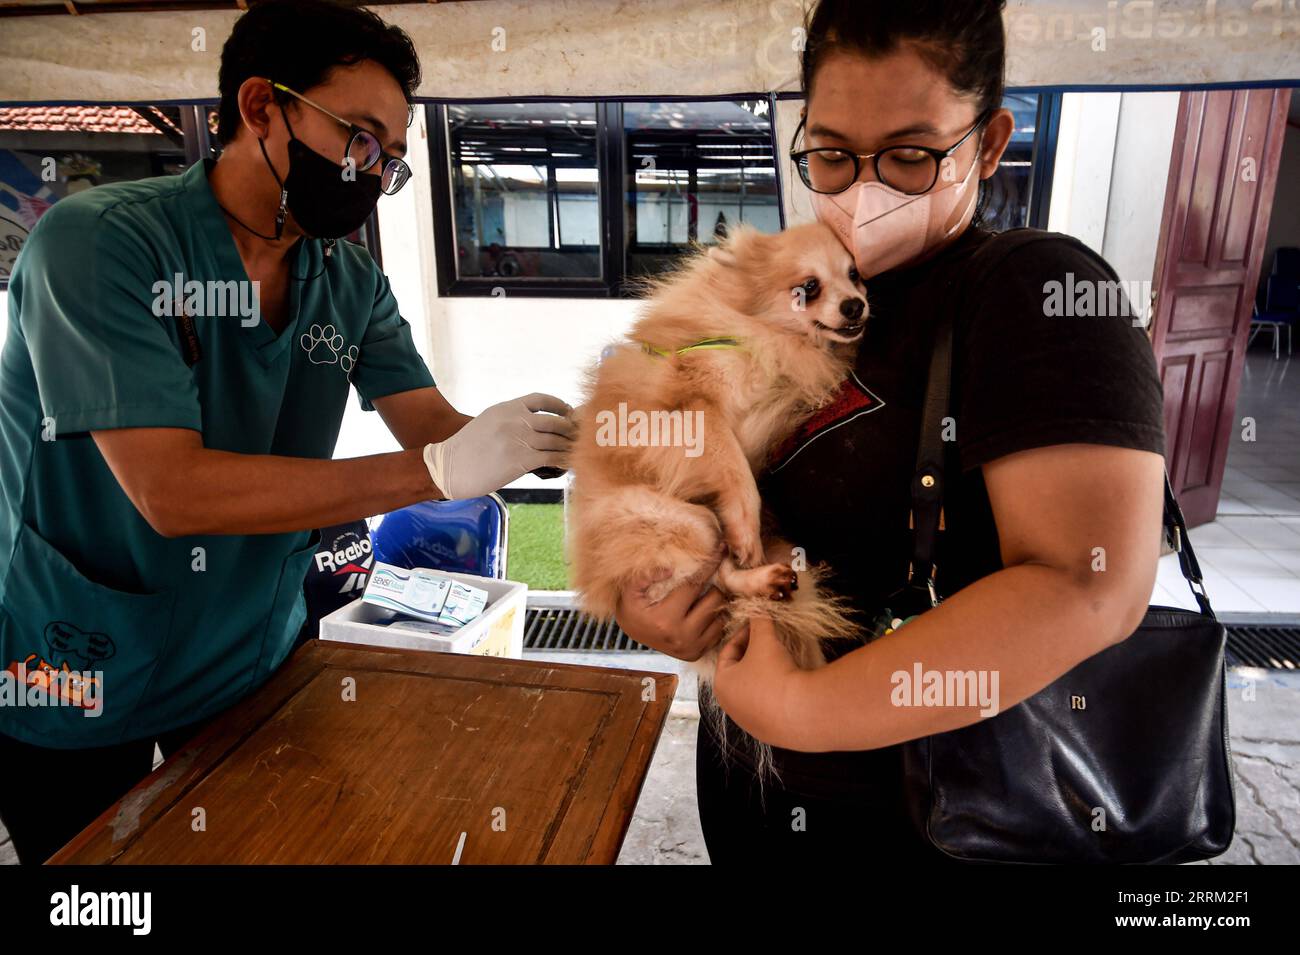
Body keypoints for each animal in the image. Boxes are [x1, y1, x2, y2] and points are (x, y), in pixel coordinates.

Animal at [564, 220, 868, 748]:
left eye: (855, 276)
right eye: (809, 288)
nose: (855, 305)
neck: (762, 331)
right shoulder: (691, 411)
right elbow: (734, 469)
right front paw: (745, 523)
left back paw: (765, 577)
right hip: (685, 523)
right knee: (716, 566)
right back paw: (753, 567)